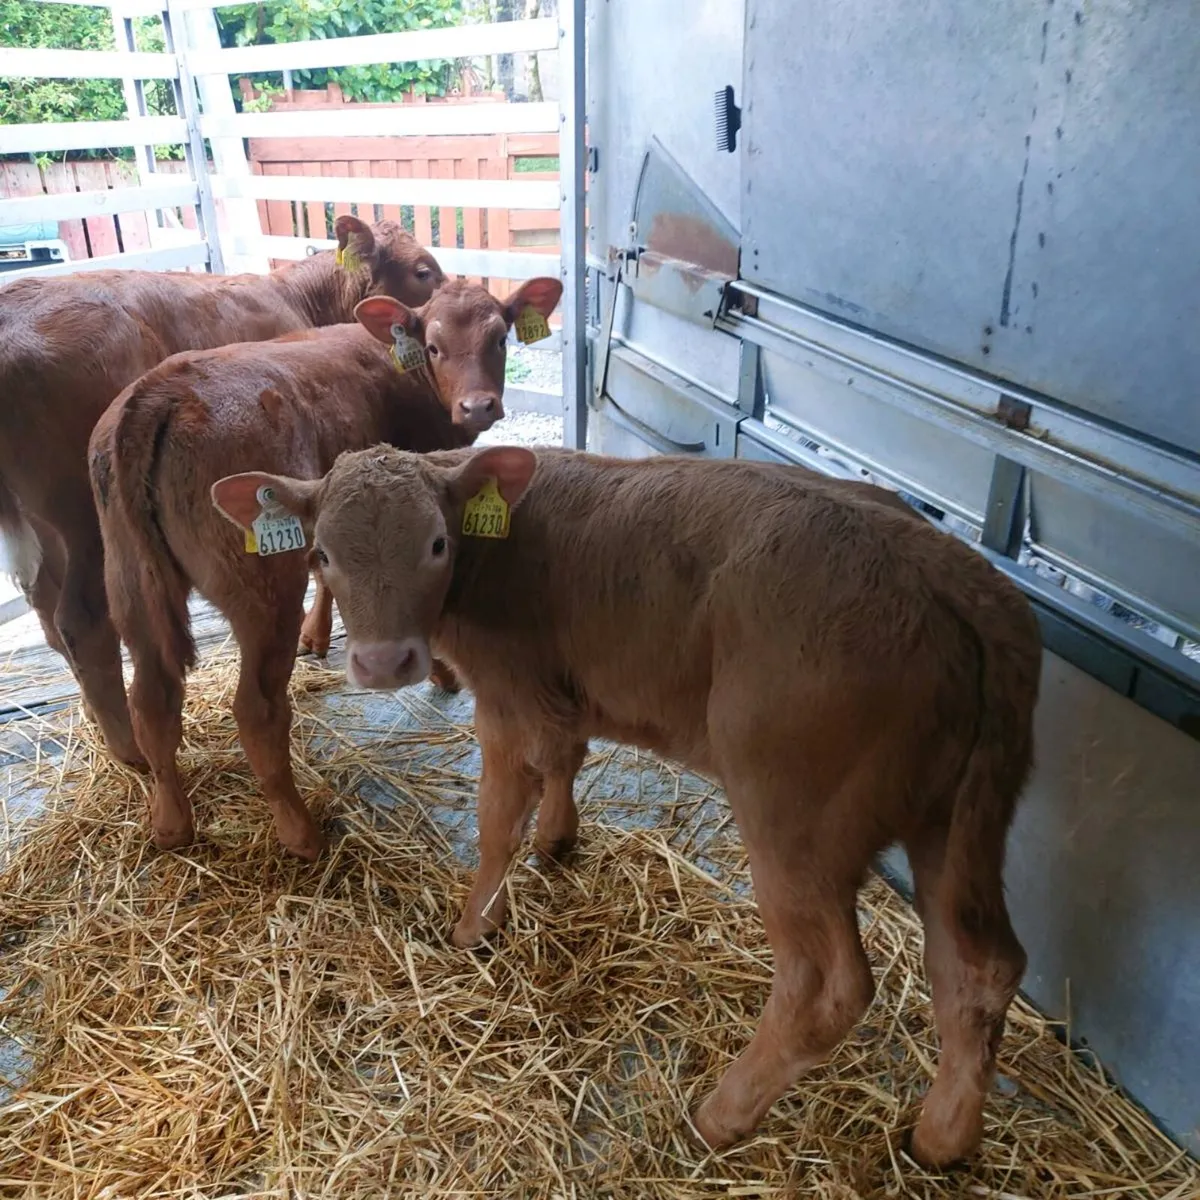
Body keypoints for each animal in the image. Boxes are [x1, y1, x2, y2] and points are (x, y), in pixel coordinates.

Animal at [0, 216, 443, 768]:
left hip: (49, 526)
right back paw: (130, 751)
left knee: (46, 605)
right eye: (423, 271)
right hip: (81, 520)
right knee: (81, 620)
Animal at [94, 278, 563, 862]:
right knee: (257, 711)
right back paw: (301, 833)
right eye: (433, 346)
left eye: (501, 338)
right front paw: (439, 670)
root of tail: (159, 391)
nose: (478, 406)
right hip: (263, 591)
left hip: (127, 583)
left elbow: (331, 573)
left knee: (151, 701)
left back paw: (171, 824)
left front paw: (318, 635)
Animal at [211, 442, 1042, 1170]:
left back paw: (720, 1115)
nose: (385, 663)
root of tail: (947, 571)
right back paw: (941, 1139)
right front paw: (557, 840)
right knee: (979, 966)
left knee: (828, 984)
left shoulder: (507, 696)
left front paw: (475, 926)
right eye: (321, 555)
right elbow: (565, 762)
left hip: (793, 817)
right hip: (961, 818)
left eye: (438, 543)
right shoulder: (561, 693)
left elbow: (496, 819)